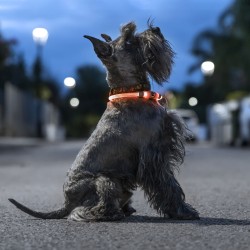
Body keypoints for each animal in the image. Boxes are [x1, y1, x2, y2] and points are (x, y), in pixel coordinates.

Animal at [8, 21, 199, 221]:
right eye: (128, 39)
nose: (156, 29)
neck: (130, 91)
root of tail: (66, 203)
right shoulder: (154, 156)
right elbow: (168, 185)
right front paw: (182, 211)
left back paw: (126, 209)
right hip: (105, 181)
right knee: (89, 209)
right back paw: (111, 213)